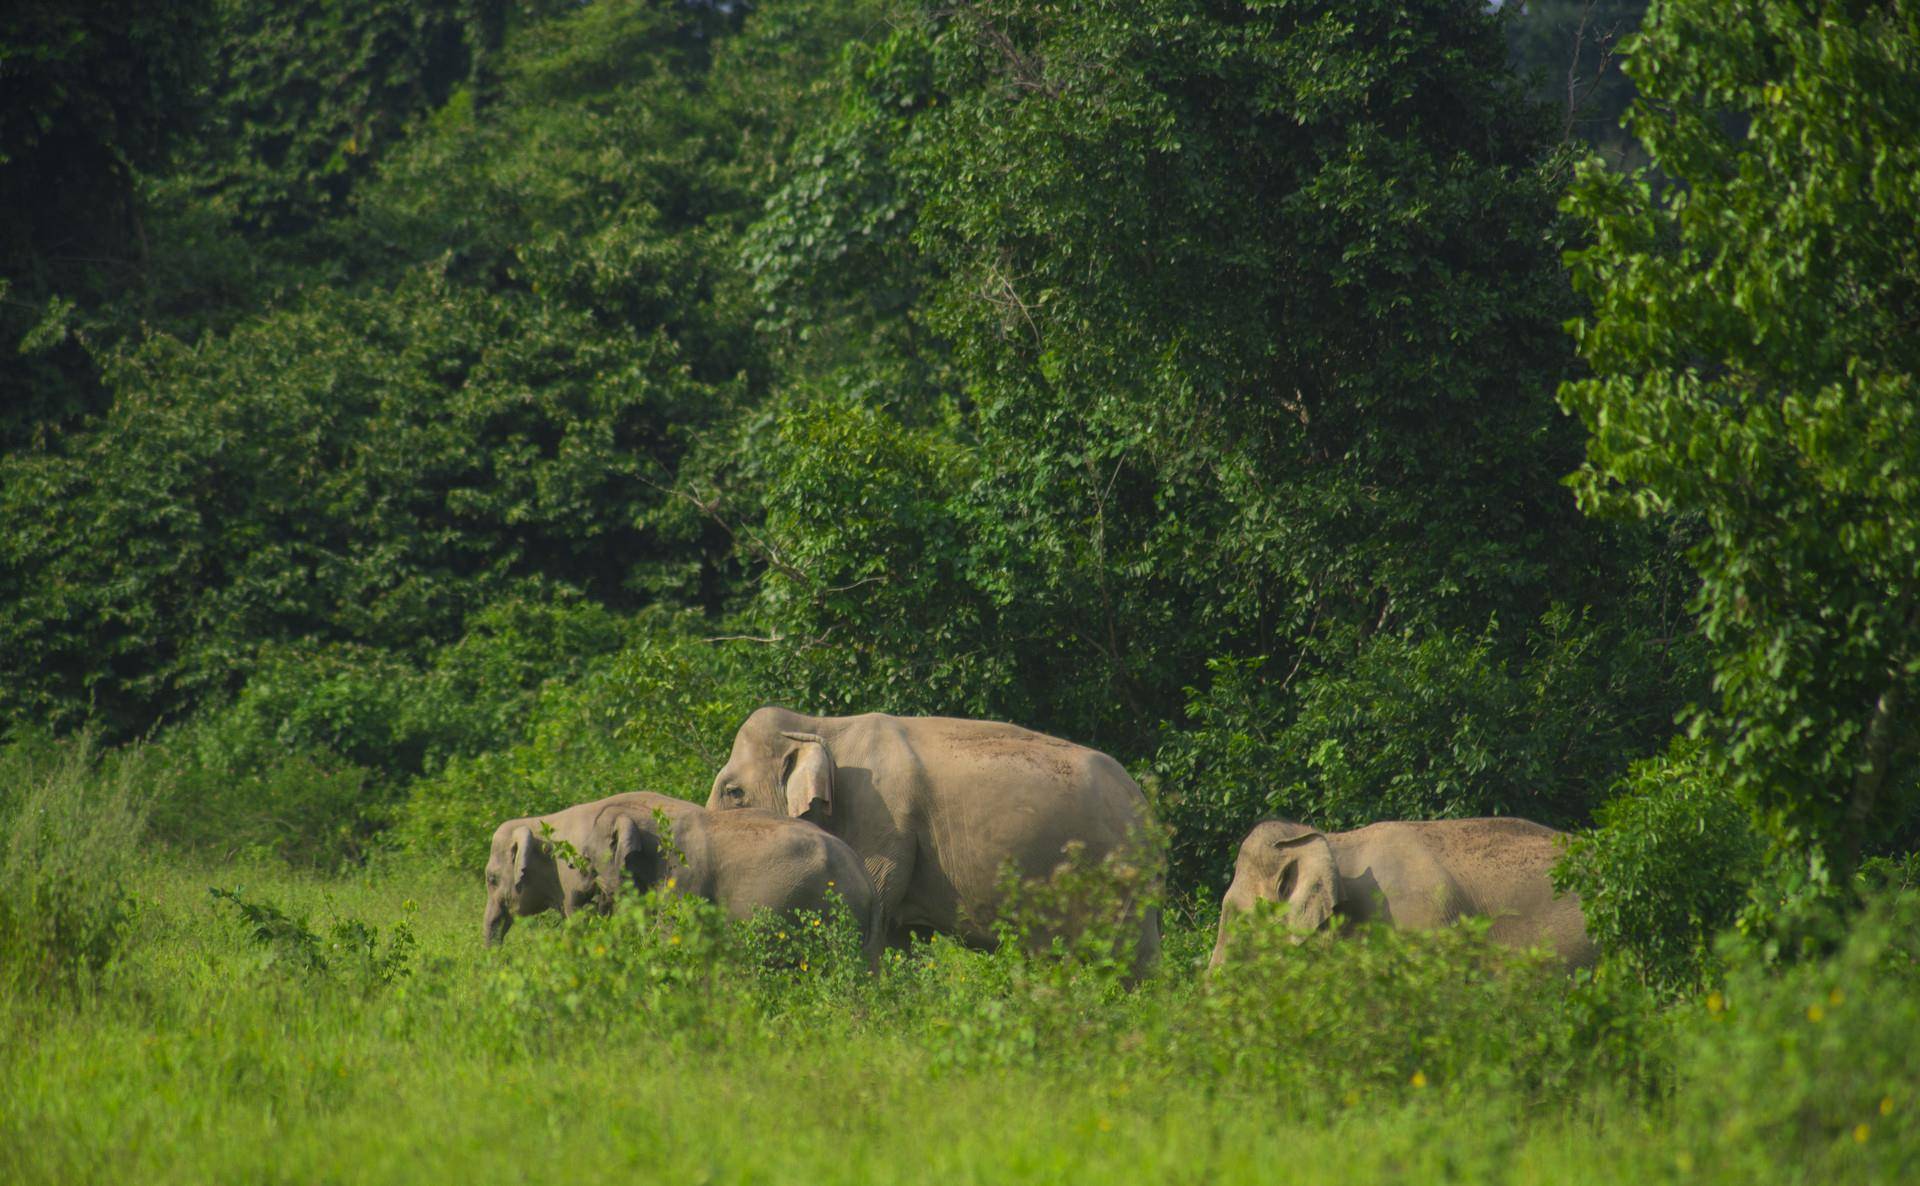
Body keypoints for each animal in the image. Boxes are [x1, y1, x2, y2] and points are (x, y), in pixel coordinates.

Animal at [702, 702, 1152, 971]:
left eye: (733, 791)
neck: (819, 725)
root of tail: (1143, 803)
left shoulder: (881, 820)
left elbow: (879, 920)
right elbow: (901, 937)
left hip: (1117, 873)